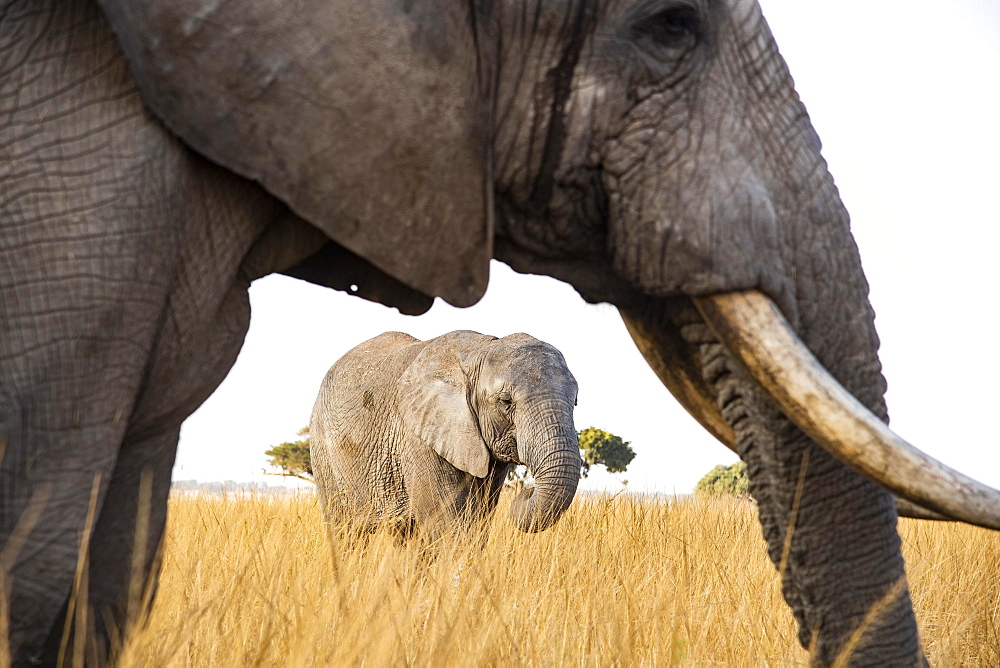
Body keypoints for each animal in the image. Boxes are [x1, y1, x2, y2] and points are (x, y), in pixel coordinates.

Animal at [308, 332, 584, 540]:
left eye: (576, 402)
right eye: (506, 401)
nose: (525, 493)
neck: (480, 350)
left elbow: (477, 523)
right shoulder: (419, 434)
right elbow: (450, 527)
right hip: (324, 452)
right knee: (346, 532)